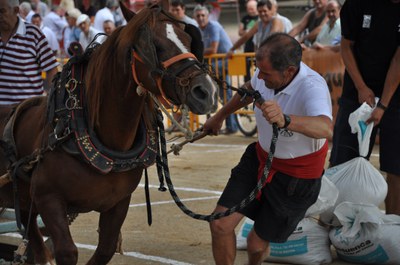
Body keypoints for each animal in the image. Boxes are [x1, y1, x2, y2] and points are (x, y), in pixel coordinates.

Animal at [0, 1, 219, 262]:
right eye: (154, 46)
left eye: (188, 38)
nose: (206, 92)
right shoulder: (48, 199)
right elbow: (66, 251)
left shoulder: (118, 202)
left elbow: (105, 248)